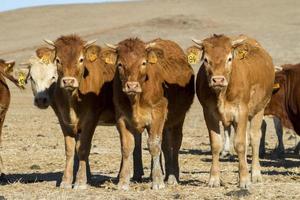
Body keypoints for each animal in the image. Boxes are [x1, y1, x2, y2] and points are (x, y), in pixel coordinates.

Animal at [41, 34, 116, 189]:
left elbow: (83, 148)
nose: (68, 81)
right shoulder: (63, 120)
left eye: (81, 59)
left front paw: (81, 182)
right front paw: (66, 181)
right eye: (58, 60)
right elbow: (70, 150)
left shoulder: (91, 119)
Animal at [105, 38, 195, 190]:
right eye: (120, 64)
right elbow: (127, 147)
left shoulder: (157, 114)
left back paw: (172, 177)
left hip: (178, 118)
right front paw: (123, 181)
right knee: (165, 146)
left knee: (175, 143)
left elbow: (154, 145)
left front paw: (157, 181)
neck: (136, 100)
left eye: (143, 62)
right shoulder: (122, 118)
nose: (132, 86)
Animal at [189, 33, 276, 188]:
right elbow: (216, 144)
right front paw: (214, 178)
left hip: (259, 110)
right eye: (206, 59)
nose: (218, 80)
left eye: (229, 58)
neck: (222, 95)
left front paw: (245, 180)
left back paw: (255, 174)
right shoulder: (208, 114)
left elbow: (240, 145)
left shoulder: (241, 112)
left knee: (254, 139)